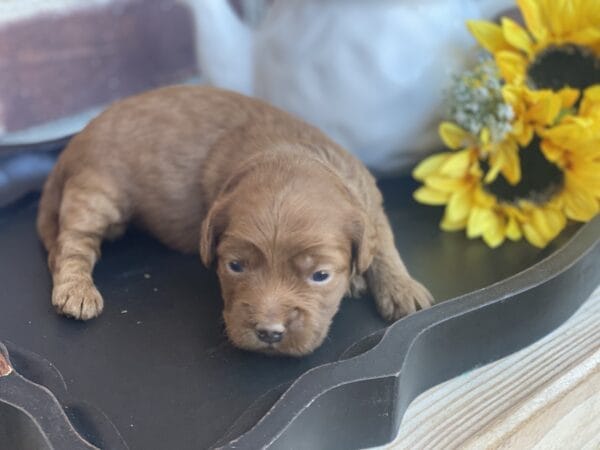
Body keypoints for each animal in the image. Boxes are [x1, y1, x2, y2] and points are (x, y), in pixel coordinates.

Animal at [37, 86, 432, 356]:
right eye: (235, 267)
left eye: (320, 276)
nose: (270, 333)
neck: (289, 154)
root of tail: (74, 144)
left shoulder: (366, 195)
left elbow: (382, 244)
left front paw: (402, 288)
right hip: (99, 189)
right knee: (71, 243)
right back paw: (76, 290)